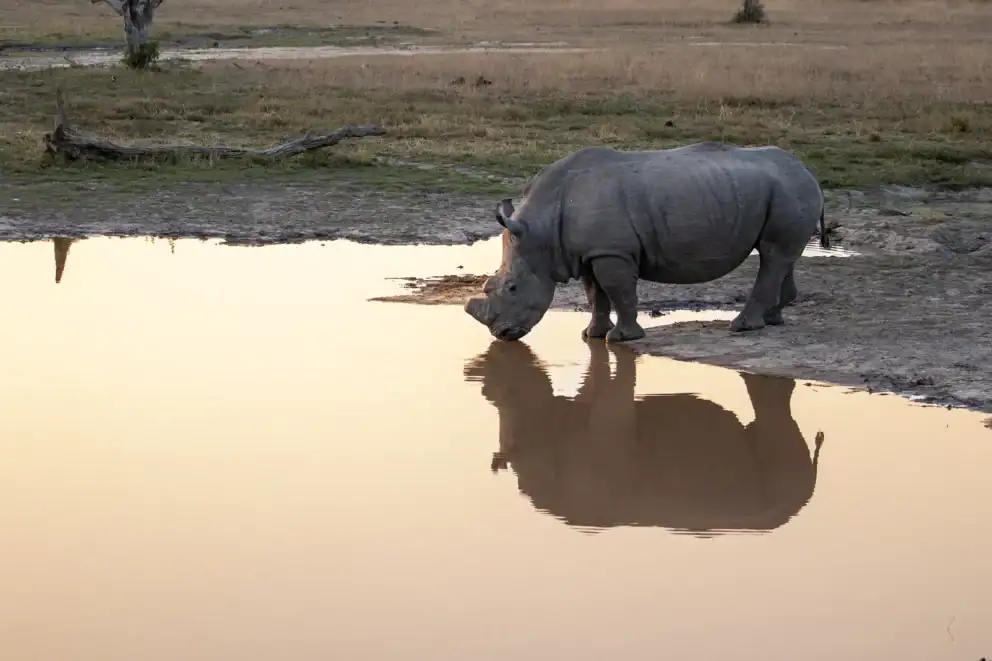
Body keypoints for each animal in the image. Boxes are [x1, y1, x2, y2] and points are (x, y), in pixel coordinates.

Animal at [464, 141, 829, 342]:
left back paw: (742, 327)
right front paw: (592, 335)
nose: (501, 335)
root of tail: (809, 171)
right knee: (779, 256)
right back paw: (773, 319)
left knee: (772, 255)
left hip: (787, 190)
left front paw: (622, 339)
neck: (540, 232)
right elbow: (595, 294)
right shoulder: (589, 253)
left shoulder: (612, 252)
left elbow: (619, 291)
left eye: (512, 288)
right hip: (782, 191)